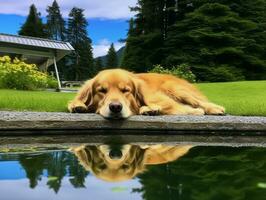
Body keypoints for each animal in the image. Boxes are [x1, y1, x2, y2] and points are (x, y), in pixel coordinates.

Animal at [68, 69, 224, 119]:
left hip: (173, 88)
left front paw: (149, 109)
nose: (115, 107)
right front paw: (78, 105)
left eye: (126, 90)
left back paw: (215, 109)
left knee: (199, 103)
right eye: (102, 91)